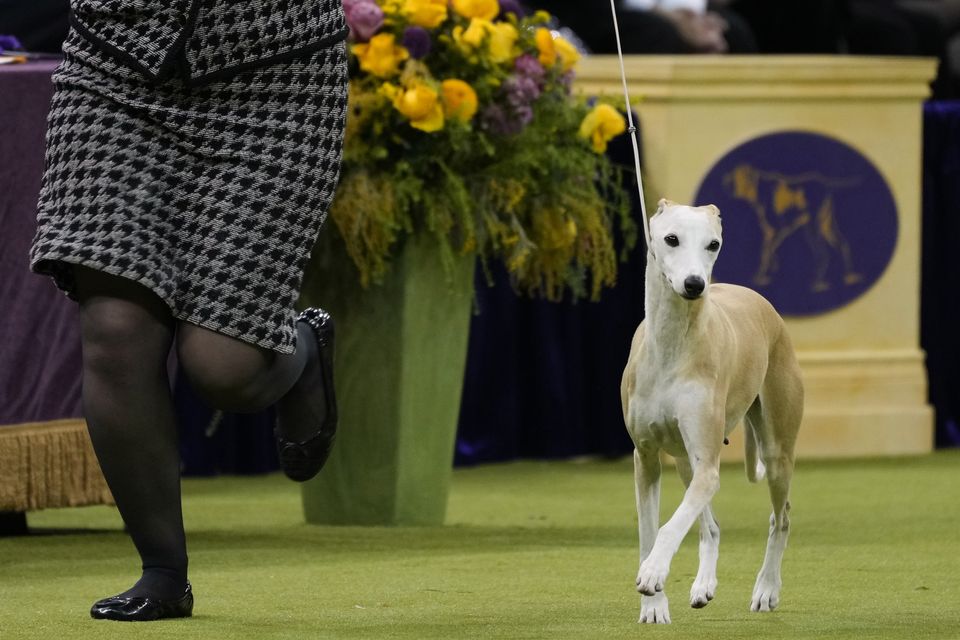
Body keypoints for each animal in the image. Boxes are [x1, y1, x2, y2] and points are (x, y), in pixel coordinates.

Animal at [624, 199, 804, 620]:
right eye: (671, 239)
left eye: (714, 244)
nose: (695, 284)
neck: (672, 344)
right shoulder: (646, 457)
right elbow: (648, 530)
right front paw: (653, 606)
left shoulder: (708, 465)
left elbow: (669, 527)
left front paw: (653, 573)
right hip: (684, 461)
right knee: (711, 525)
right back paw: (703, 585)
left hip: (774, 451)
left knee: (781, 517)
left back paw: (766, 588)